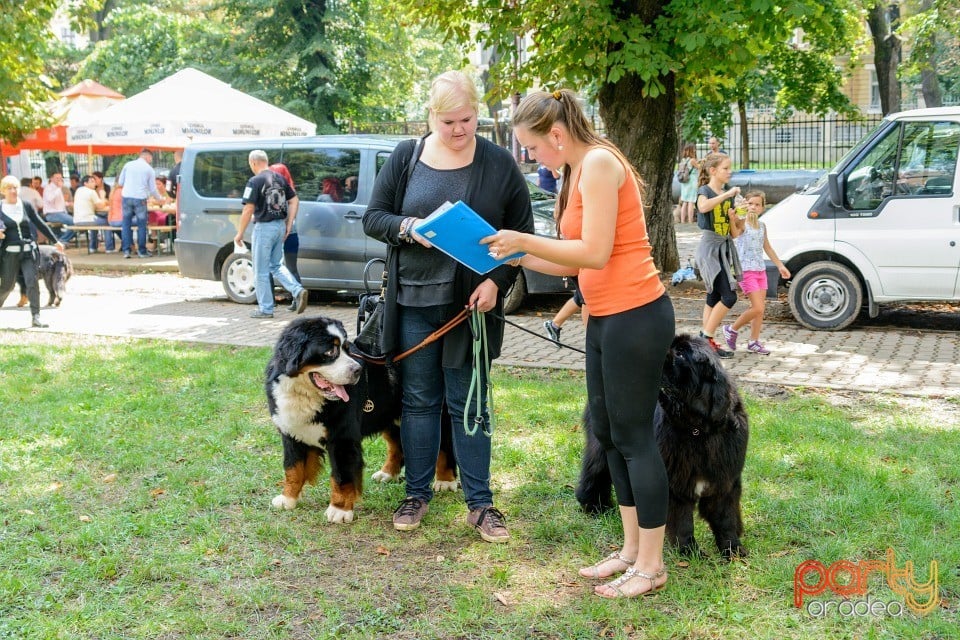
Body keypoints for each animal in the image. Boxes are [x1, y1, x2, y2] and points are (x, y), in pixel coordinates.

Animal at [262, 318, 458, 524]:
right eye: (330, 352)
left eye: (347, 349)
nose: (357, 370)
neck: (305, 395)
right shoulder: (292, 433)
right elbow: (293, 468)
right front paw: (288, 498)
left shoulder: (342, 439)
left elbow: (342, 477)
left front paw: (339, 510)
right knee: (397, 444)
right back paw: (387, 473)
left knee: (445, 444)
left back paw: (445, 480)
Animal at [576, 336, 752, 560]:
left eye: (681, 353)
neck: (697, 429)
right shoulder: (676, 483)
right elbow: (683, 523)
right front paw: (690, 551)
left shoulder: (724, 481)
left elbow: (725, 518)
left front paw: (733, 549)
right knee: (596, 471)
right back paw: (595, 506)